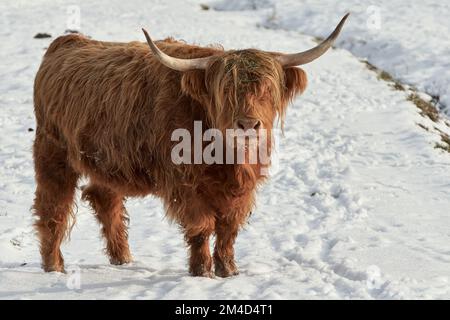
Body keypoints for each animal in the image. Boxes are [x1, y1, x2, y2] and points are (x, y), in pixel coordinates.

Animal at [32, 13, 348, 276]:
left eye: (267, 90)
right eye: (225, 92)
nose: (248, 124)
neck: (226, 158)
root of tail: (66, 42)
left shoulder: (243, 189)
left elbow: (229, 229)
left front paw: (229, 270)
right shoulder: (185, 184)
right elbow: (202, 226)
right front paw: (202, 271)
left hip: (107, 160)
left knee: (105, 200)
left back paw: (123, 259)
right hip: (52, 151)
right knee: (53, 208)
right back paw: (54, 267)